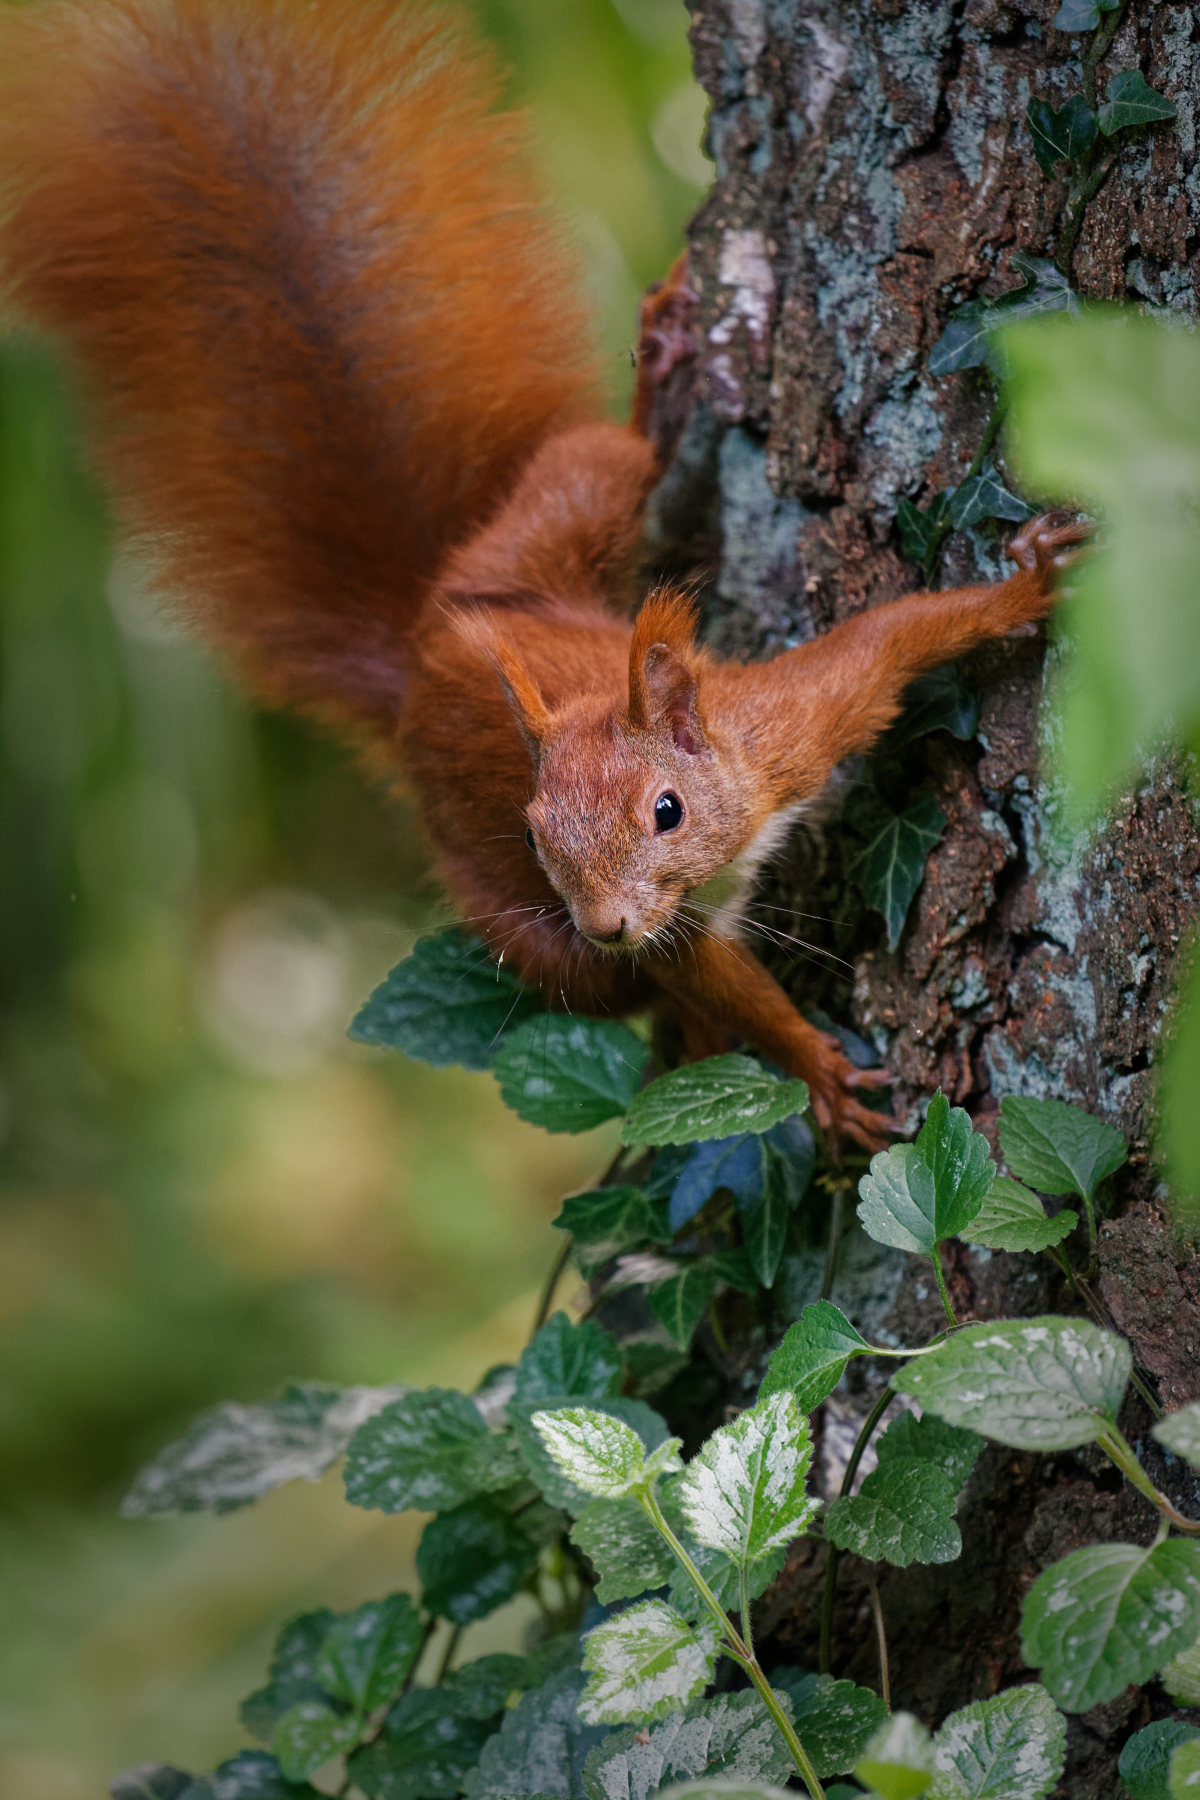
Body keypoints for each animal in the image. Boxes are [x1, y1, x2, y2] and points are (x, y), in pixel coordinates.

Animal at [0, 0, 1083, 1153]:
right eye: (533, 831)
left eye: (666, 811)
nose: (604, 922)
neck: (726, 833)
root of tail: (428, 639)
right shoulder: (675, 925)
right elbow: (717, 982)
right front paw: (818, 1073)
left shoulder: (794, 725)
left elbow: (893, 638)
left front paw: (1023, 590)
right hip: (519, 910)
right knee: (619, 995)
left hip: (553, 513)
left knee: (614, 463)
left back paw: (667, 387)